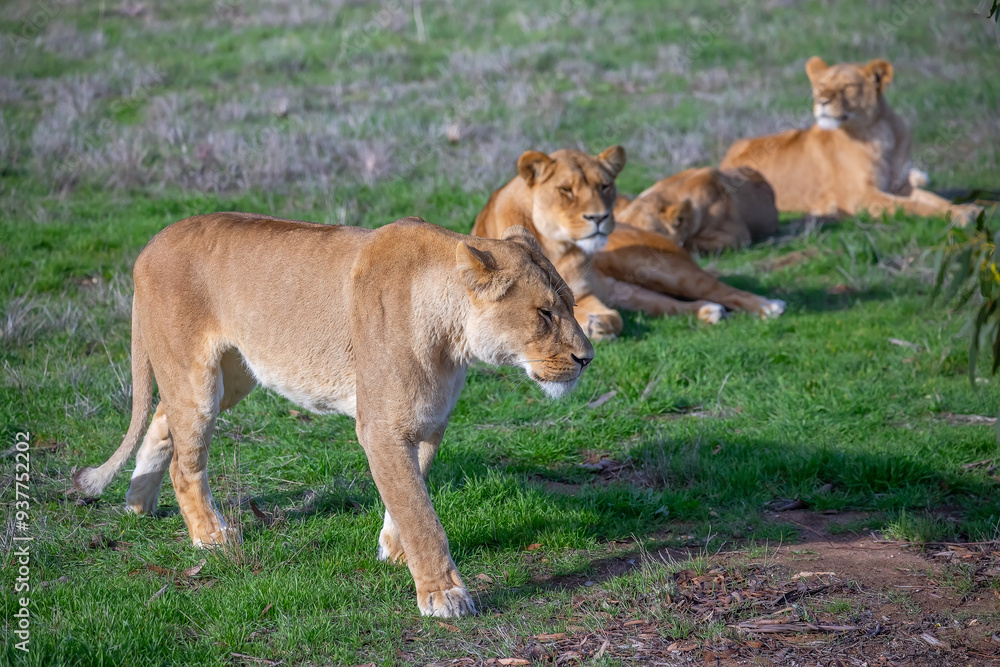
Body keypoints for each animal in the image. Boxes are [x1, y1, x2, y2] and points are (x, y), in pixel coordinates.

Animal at [73, 213, 593, 618]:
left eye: (571, 303)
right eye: (545, 313)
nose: (587, 358)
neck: (453, 337)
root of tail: (149, 244)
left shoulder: (429, 421)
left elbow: (412, 490)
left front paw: (393, 549)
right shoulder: (381, 427)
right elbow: (422, 514)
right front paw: (443, 594)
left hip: (234, 375)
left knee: (162, 419)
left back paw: (139, 502)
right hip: (196, 380)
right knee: (186, 462)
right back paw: (212, 538)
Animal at [721, 56, 982, 225]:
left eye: (847, 86)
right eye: (820, 86)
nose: (822, 100)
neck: (878, 133)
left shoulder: (899, 186)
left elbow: (933, 199)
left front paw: (968, 208)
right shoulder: (860, 197)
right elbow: (913, 206)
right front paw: (959, 216)